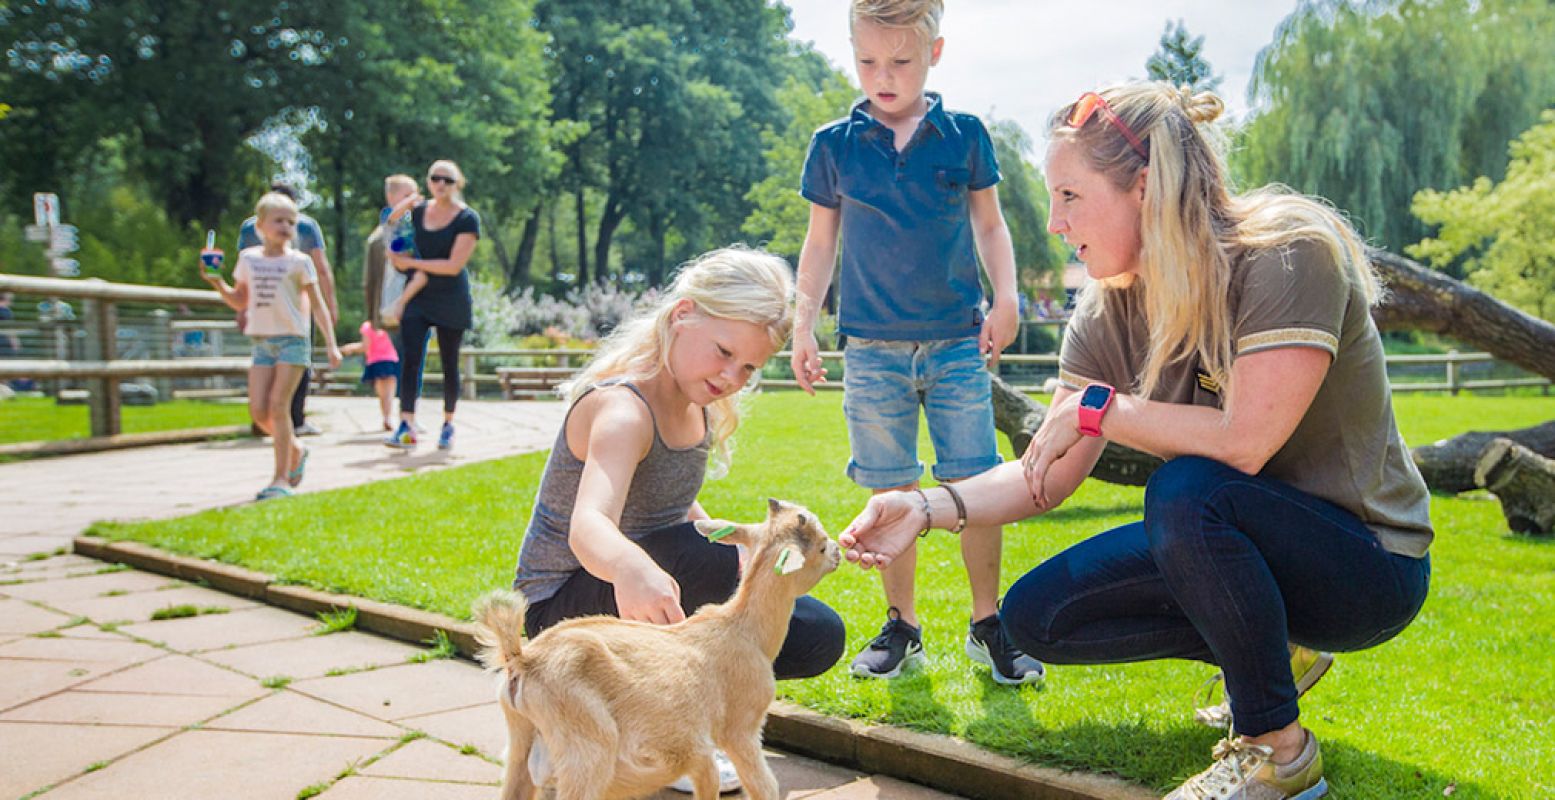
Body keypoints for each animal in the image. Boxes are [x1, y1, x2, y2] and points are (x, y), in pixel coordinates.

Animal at [472, 494, 839, 793]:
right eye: (820, 545)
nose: (838, 552)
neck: (744, 630)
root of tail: (522, 660)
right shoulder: (740, 727)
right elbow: (764, 785)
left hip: (521, 742)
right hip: (587, 747)